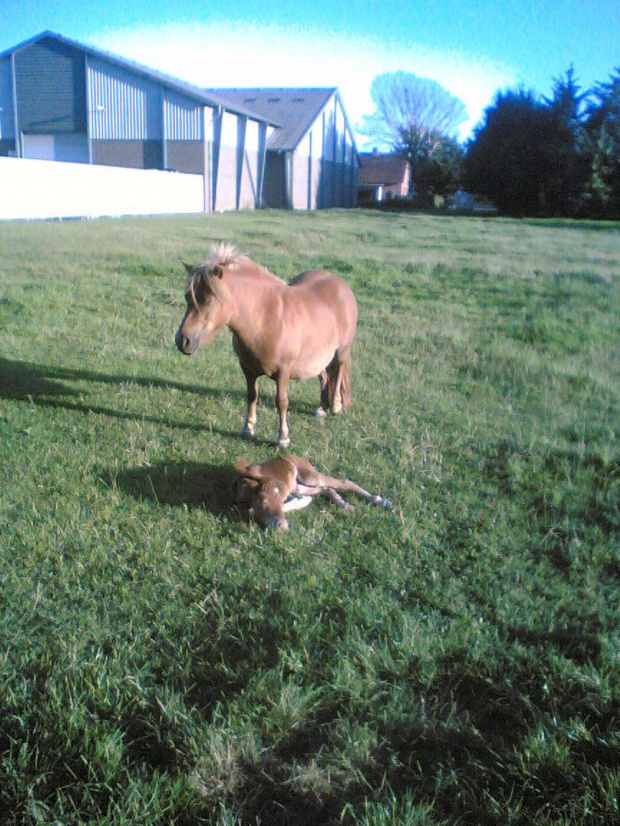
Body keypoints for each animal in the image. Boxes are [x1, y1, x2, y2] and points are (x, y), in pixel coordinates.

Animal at [174, 240, 358, 444]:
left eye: (208, 300)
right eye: (187, 297)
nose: (182, 340)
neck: (266, 318)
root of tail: (340, 284)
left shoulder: (283, 371)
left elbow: (282, 401)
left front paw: (283, 437)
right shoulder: (247, 368)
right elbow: (251, 396)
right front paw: (247, 428)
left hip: (341, 350)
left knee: (339, 370)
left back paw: (335, 405)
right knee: (324, 375)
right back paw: (321, 408)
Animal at [232, 450, 392, 528]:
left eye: (281, 498)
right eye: (263, 499)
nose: (282, 526)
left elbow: (284, 507)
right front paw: (303, 501)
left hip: (309, 477)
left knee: (342, 483)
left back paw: (383, 502)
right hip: (297, 486)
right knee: (326, 489)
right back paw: (345, 505)